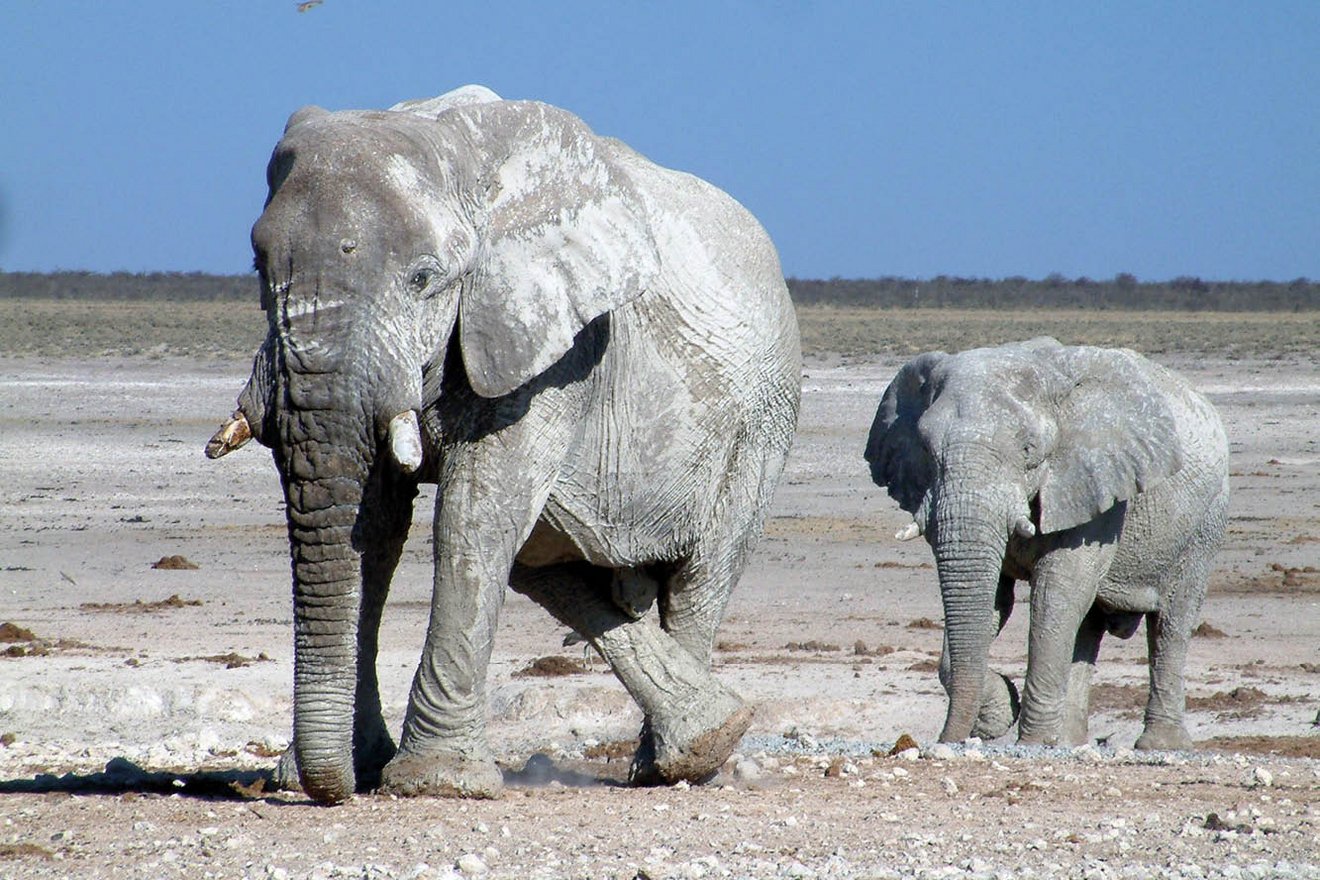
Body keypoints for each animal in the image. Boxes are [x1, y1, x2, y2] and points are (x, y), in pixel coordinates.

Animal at [205, 85, 797, 802]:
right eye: (258, 266)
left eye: (424, 279)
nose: (324, 785)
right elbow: (376, 526)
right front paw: (347, 767)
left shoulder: (555, 344)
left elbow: (474, 514)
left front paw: (434, 781)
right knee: (544, 555)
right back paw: (701, 733)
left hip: (760, 422)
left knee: (700, 577)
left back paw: (680, 763)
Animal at [865, 337, 1224, 749]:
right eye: (925, 448)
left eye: (1028, 449)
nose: (945, 740)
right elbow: (993, 600)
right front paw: (1001, 710)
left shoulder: (1094, 483)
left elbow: (1057, 593)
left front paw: (1030, 740)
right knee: (1087, 630)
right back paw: (1069, 741)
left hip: (1205, 521)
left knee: (1171, 623)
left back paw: (1160, 744)